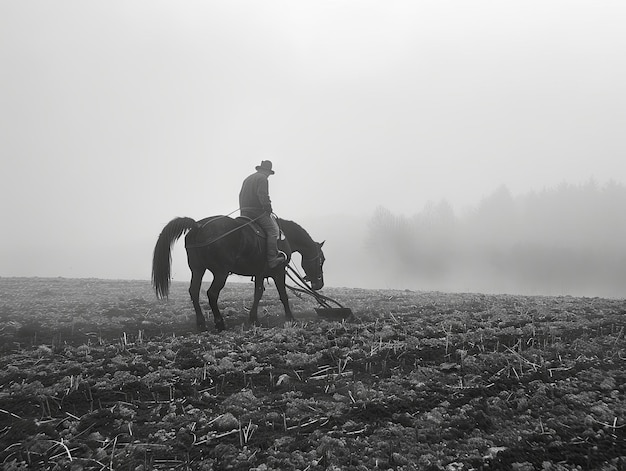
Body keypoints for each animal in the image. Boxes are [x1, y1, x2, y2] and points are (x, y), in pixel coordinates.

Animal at [152, 216, 326, 330]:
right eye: (322, 260)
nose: (319, 284)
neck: (284, 236)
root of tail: (198, 226)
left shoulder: (260, 273)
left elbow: (258, 293)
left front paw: (254, 318)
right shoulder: (278, 271)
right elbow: (283, 294)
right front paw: (290, 318)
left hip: (197, 270)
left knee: (194, 291)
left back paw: (201, 322)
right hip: (220, 273)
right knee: (212, 293)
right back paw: (219, 322)